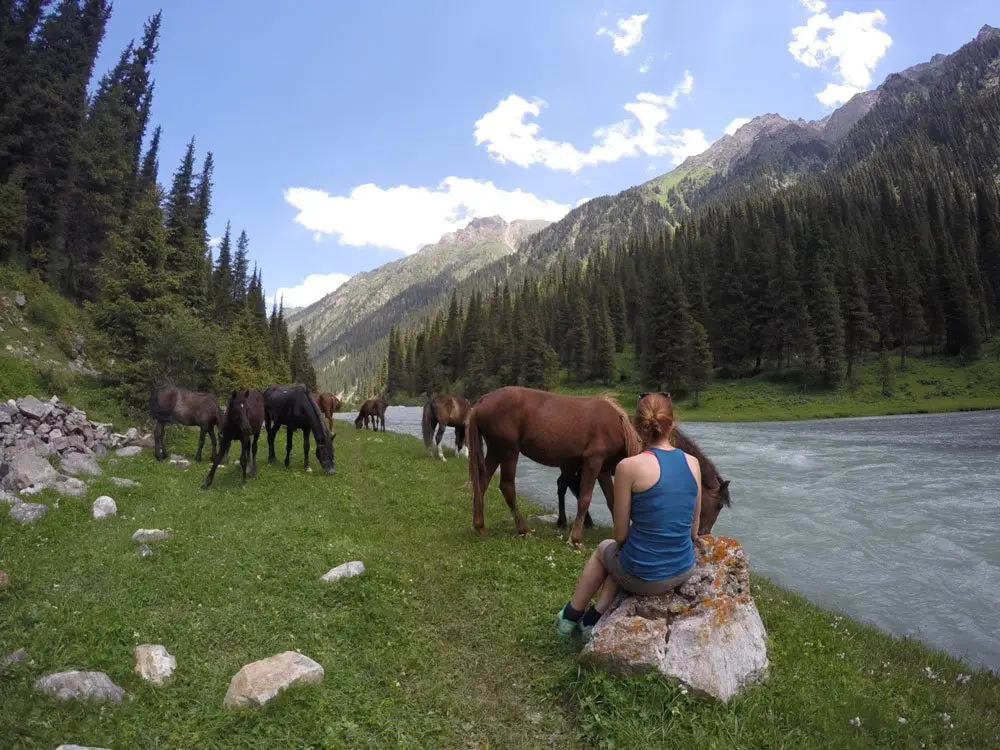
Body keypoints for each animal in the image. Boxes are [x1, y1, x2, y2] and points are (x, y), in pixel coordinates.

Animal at [466, 388, 640, 548]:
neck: (616, 426)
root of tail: (481, 401)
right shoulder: (593, 461)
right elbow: (584, 498)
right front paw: (575, 539)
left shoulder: (603, 470)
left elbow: (612, 501)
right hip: (508, 451)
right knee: (507, 487)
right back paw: (523, 530)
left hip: (495, 451)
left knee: (481, 484)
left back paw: (479, 526)